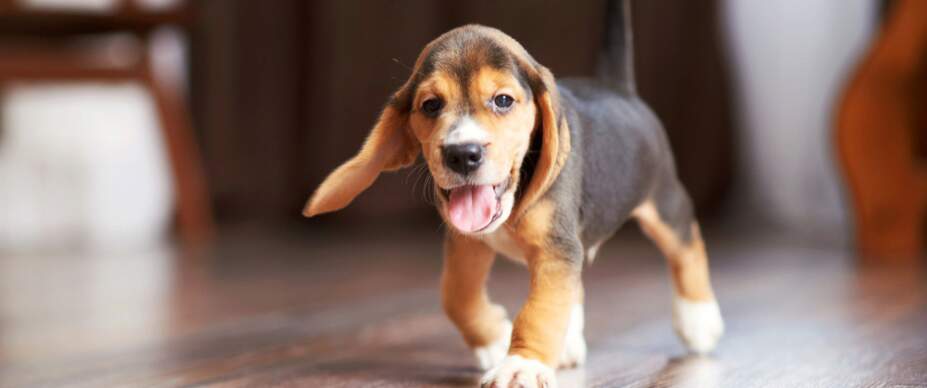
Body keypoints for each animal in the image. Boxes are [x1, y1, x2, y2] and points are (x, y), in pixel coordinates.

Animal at [304, 2, 724, 384]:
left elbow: (538, 311)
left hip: (664, 201)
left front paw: (523, 364)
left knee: (687, 246)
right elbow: (456, 296)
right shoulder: (468, 243)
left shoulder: (556, 249)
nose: (462, 153)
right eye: (431, 105)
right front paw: (494, 339)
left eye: (503, 100)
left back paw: (699, 318)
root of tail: (618, 87)